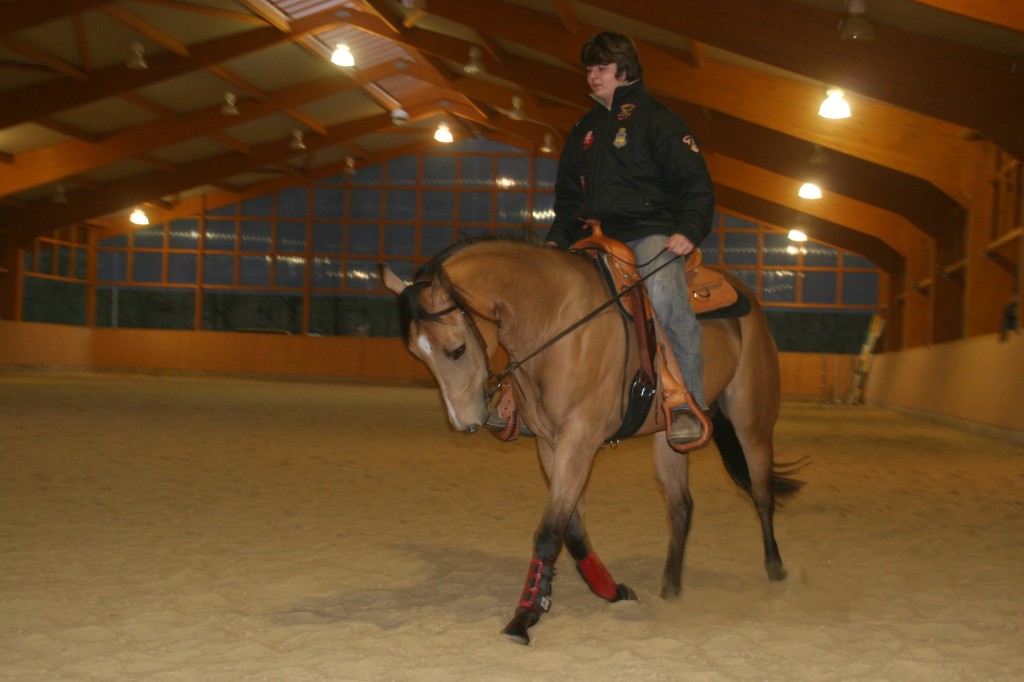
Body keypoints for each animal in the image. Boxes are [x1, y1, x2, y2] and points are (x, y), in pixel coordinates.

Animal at [380, 233, 802, 643]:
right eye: (418, 355)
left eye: (458, 349)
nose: (465, 423)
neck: (556, 322)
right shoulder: (551, 445)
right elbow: (573, 529)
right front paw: (609, 590)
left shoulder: (579, 441)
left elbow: (550, 532)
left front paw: (524, 615)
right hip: (669, 440)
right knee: (681, 507)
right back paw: (670, 588)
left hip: (752, 421)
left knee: (761, 494)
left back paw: (776, 569)